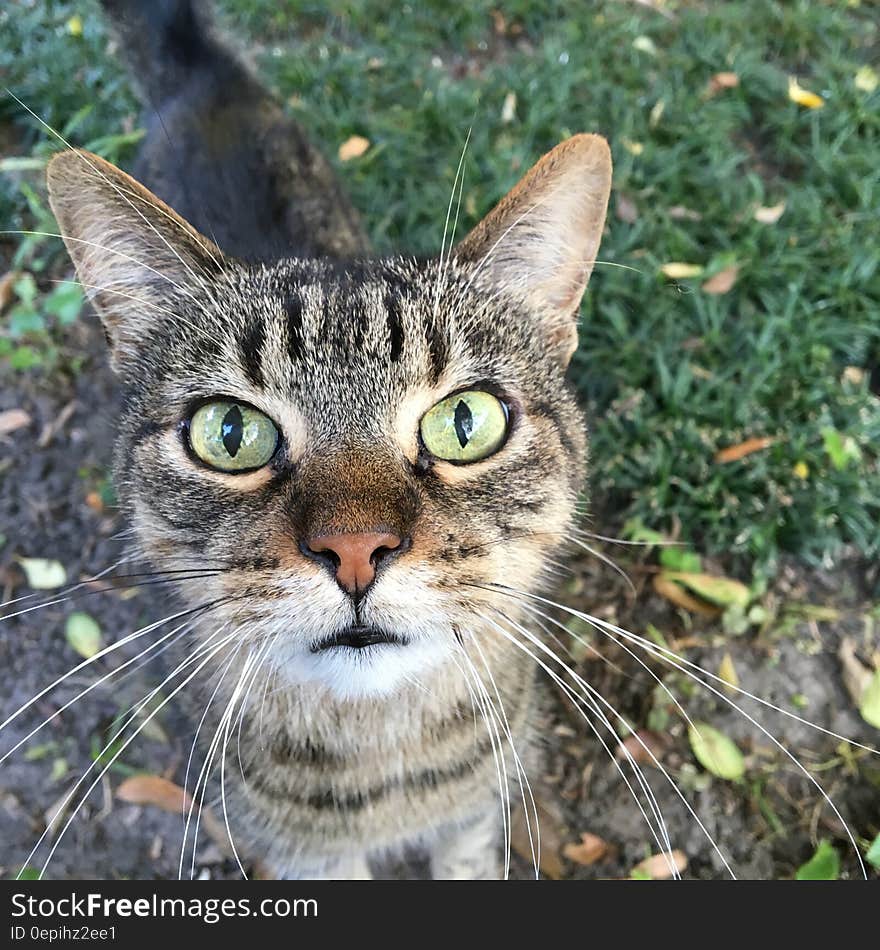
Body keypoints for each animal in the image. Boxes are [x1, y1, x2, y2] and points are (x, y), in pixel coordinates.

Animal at [46, 0, 612, 880]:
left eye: (466, 423)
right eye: (230, 433)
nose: (355, 549)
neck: (386, 767)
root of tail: (202, 73)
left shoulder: (472, 820)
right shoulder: (304, 855)